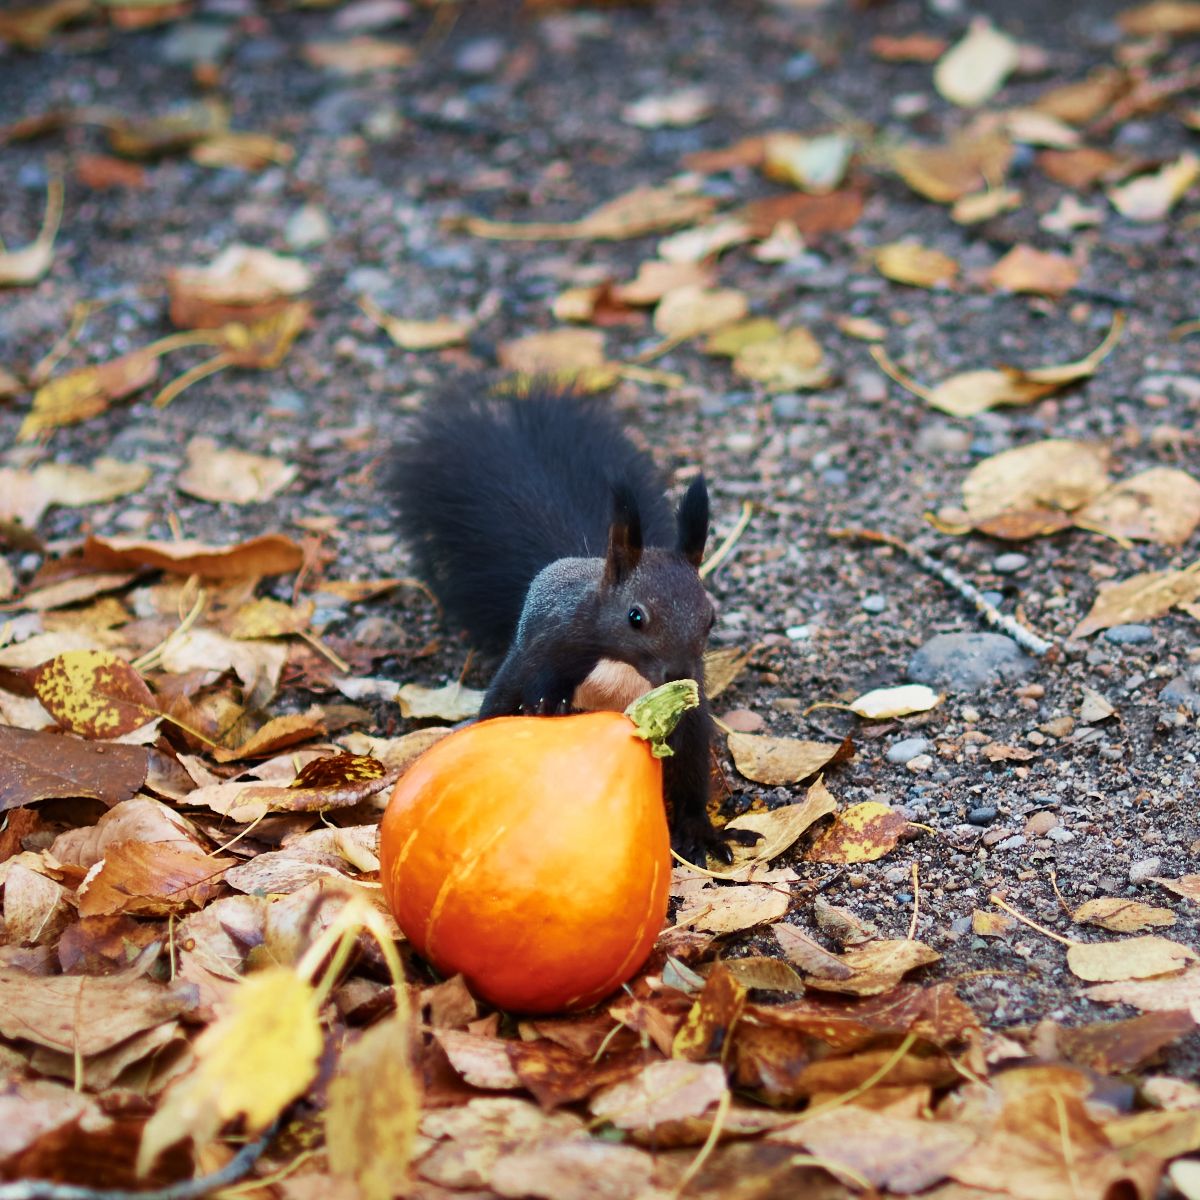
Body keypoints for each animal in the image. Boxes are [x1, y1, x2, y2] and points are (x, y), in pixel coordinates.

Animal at [388, 384, 753, 864]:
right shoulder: (555, 641)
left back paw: (699, 831)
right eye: (636, 617)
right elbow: (543, 679)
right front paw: (549, 705)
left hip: (692, 732)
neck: (622, 665)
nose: (678, 675)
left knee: (691, 777)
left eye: (711, 619)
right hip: (510, 678)